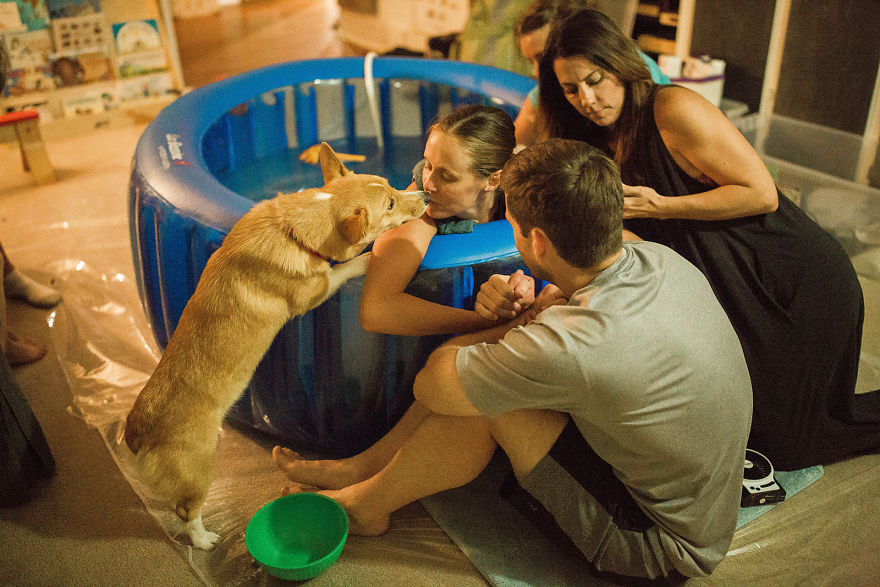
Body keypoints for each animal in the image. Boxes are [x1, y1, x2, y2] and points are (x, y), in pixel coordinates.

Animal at [123, 144, 426, 552]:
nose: (424, 196)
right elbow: (339, 270)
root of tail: (139, 431)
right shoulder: (315, 291)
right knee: (187, 511)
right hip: (198, 470)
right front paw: (367, 258)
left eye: (392, 185)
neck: (294, 228)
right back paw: (206, 541)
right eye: (391, 204)